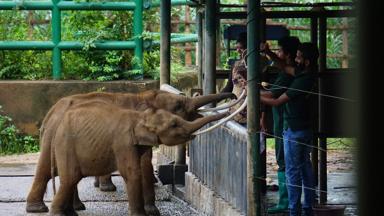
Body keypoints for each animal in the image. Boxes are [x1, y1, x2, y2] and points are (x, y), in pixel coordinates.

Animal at [25, 88, 236, 213]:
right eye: (177, 106)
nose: (233, 96)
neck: (143, 97)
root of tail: (50, 113)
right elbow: (143, 164)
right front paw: (152, 211)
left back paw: (76, 207)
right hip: (56, 139)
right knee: (46, 170)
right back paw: (38, 209)